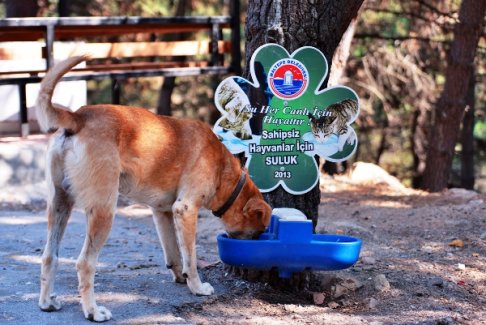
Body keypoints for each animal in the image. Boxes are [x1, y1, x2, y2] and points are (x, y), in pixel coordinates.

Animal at [37, 56, 274, 322]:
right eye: (259, 229)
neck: (223, 169)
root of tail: (78, 116)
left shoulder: (163, 212)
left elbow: (174, 253)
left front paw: (180, 276)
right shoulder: (185, 209)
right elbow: (191, 258)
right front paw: (197, 287)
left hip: (59, 205)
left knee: (49, 256)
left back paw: (46, 303)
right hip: (103, 211)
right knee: (84, 263)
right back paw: (93, 311)